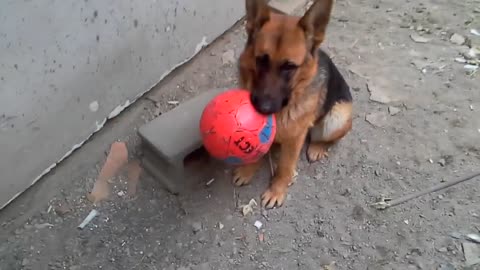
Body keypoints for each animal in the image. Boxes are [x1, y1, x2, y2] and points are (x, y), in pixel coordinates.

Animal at [232, 0, 352, 209]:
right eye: (260, 60)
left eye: (289, 67)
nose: (263, 108)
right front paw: (248, 170)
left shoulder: (295, 139)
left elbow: (285, 167)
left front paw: (277, 190)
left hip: (338, 116)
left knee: (328, 137)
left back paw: (317, 147)